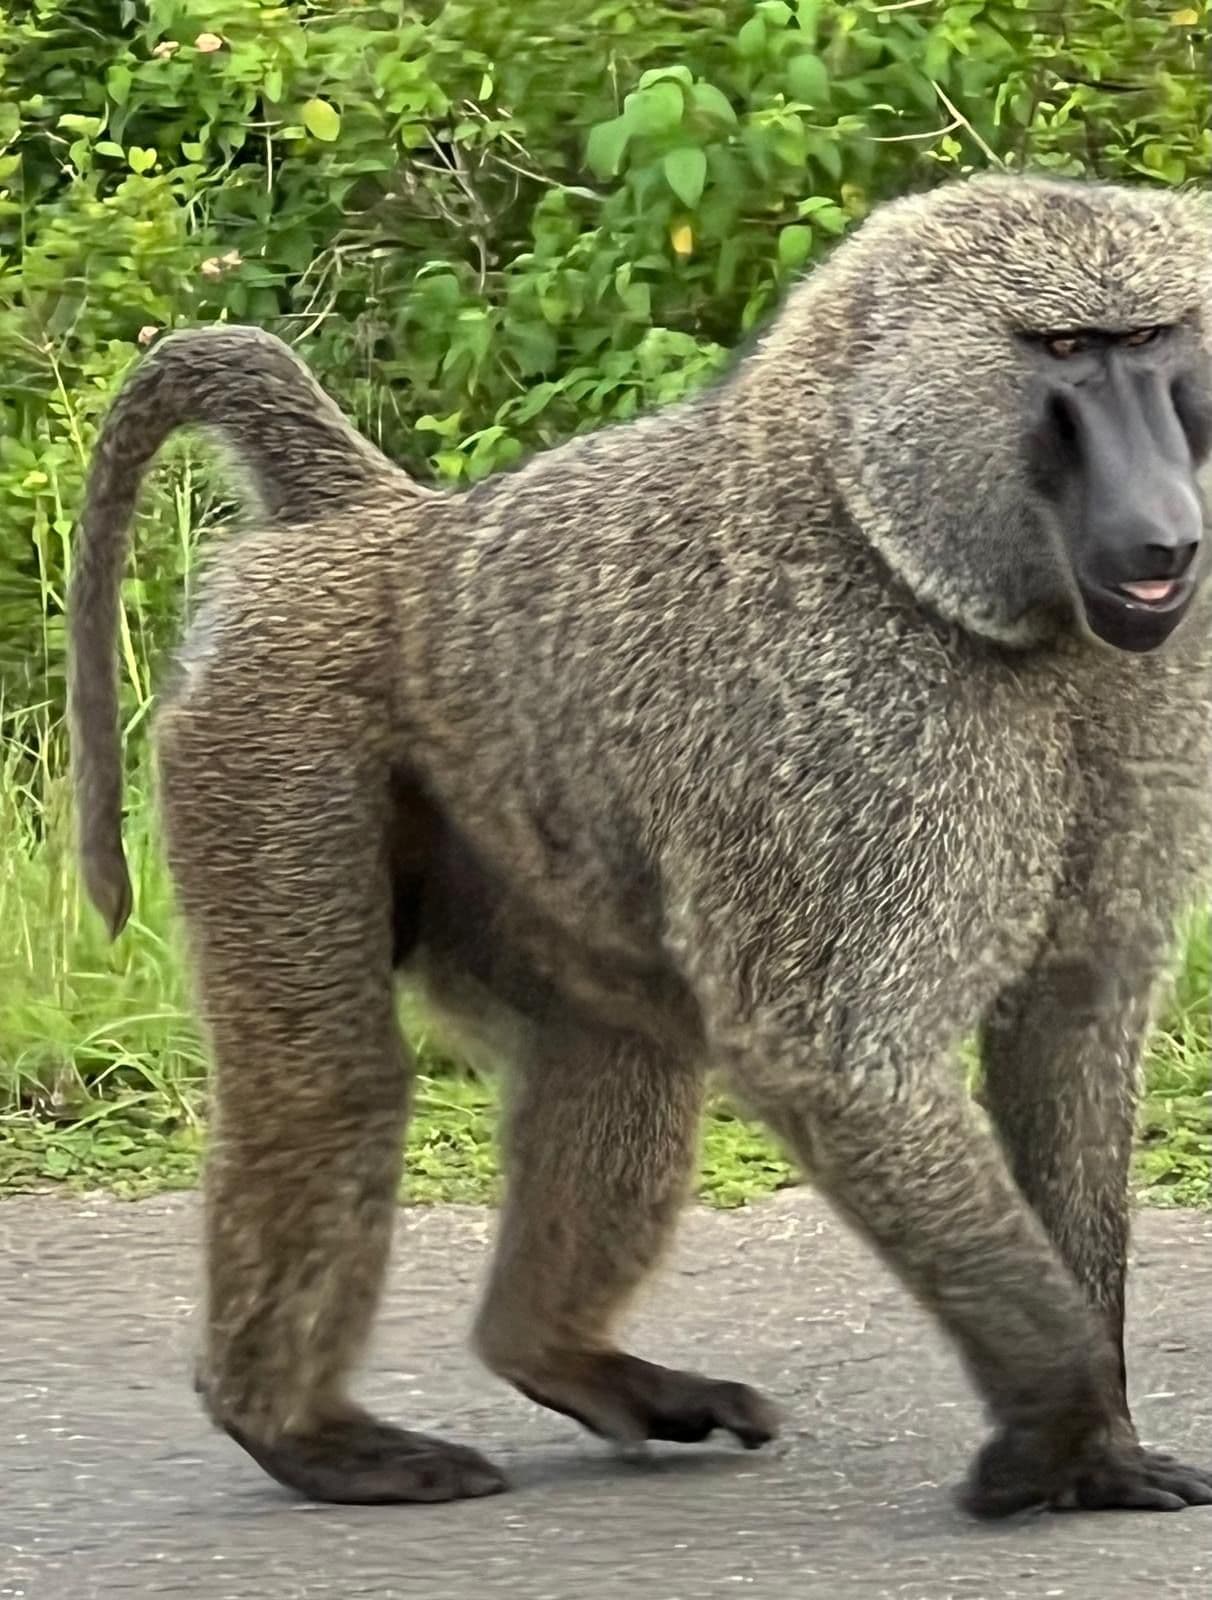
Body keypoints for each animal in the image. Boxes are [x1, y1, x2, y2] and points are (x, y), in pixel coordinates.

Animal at [67, 171, 1212, 1520]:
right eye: (1068, 351)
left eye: (1158, 339)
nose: (1164, 535)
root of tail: (381, 525)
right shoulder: (850, 712)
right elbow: (834, 1055)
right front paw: (1061, 1425)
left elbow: (1074, 1017)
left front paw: (1096, 1443)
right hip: (275, 729)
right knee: (329, 1077)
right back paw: (304, 1433)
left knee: (616, 1044)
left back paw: (564, 1357)